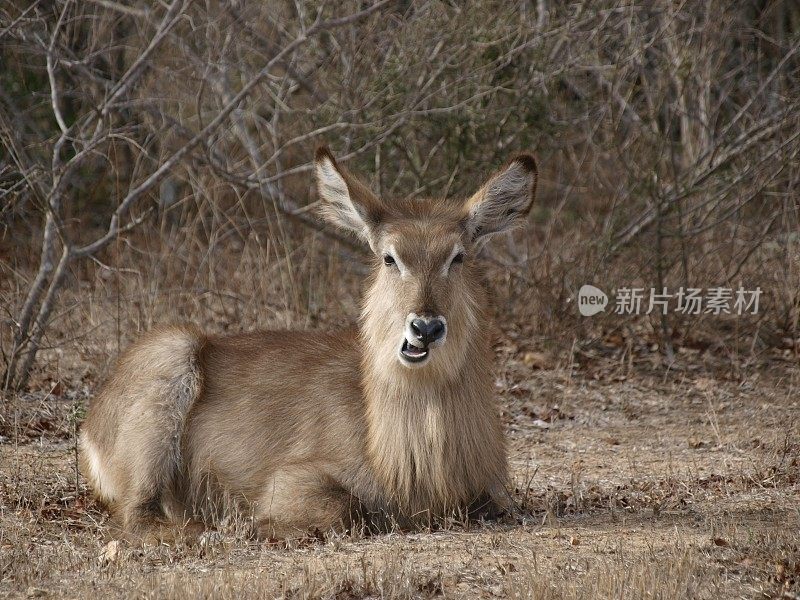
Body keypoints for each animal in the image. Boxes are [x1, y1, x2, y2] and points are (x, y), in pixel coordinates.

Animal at [79, 145, 536, 540]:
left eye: (457, 257)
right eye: (389, 257)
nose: (425, 327)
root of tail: (90, 427)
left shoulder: (492, 490)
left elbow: (497, 506)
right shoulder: (291, 477)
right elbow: (347, 508)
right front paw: (254, 521)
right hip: (171, 353)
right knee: (136, 517)